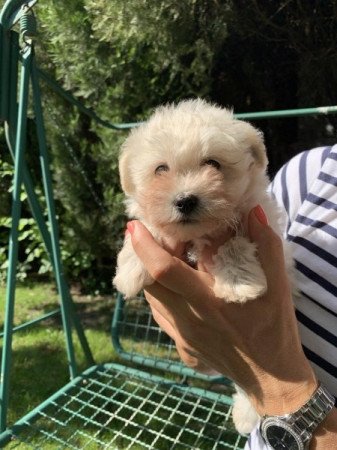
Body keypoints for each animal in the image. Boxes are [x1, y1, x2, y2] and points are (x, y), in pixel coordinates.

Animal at [112, 99, 288, 436]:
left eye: (213, 164)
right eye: (161, 169)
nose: (185, 200)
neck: (198, 234)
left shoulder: (254, 218)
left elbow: (233, 244)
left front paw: (238, 285)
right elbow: (149, 227)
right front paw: (129, 270)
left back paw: (245, 414)